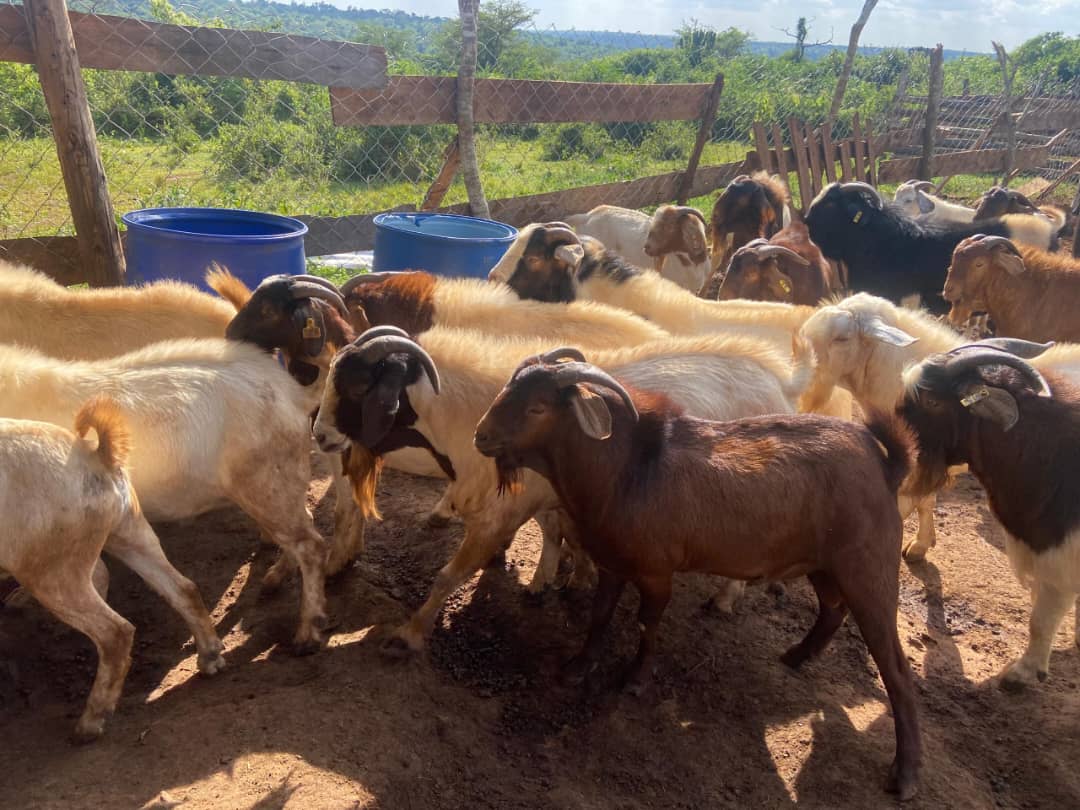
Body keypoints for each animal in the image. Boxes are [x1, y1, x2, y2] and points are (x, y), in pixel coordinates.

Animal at [0, 340, 330, 651]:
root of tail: (293, 394)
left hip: (265, 485)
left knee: (311, 545)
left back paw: (306, 634)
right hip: (281, 485)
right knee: (303, 526)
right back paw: (276, 578)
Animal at [0, 399, 224, 740]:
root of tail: (95, 456)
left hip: (51, 567)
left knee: (115, 632)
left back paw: (89, 725)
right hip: (130, 528)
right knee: (183, 588)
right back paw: (210, 658)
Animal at [313, 326, 816, 649]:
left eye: (357, 387)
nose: (319, 435)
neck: (465, 414)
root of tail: (782, 382)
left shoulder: (499, 514)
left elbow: (447, 576)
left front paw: (411, 634)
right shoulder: (547, 497)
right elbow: (558, 533)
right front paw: (556, 579)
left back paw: (725, 599)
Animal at [474, 358, 921, 800]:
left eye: (537, 408)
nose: (481, 436)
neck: (628, 469)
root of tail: (887, 466)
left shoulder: (656, 572)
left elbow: (647, 623)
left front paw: (635, 680)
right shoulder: (613, 564)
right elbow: (600, 615)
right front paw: (578, 666)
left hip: (868, 571)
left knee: (896, 669)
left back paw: (904, 775)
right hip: (823, 564)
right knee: (832, 609)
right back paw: (795, 656)